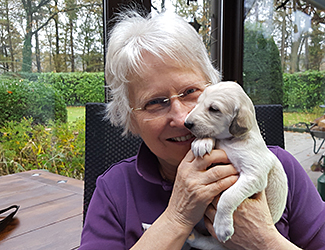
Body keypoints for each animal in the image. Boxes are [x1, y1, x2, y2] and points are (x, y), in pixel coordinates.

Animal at [184, 81, 288, 247]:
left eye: (214, 109)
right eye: (198, 102)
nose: (186, 124)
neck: (232, 140)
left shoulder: (254, 174)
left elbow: (228, 196)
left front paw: (222, 226)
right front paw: (202, 142)